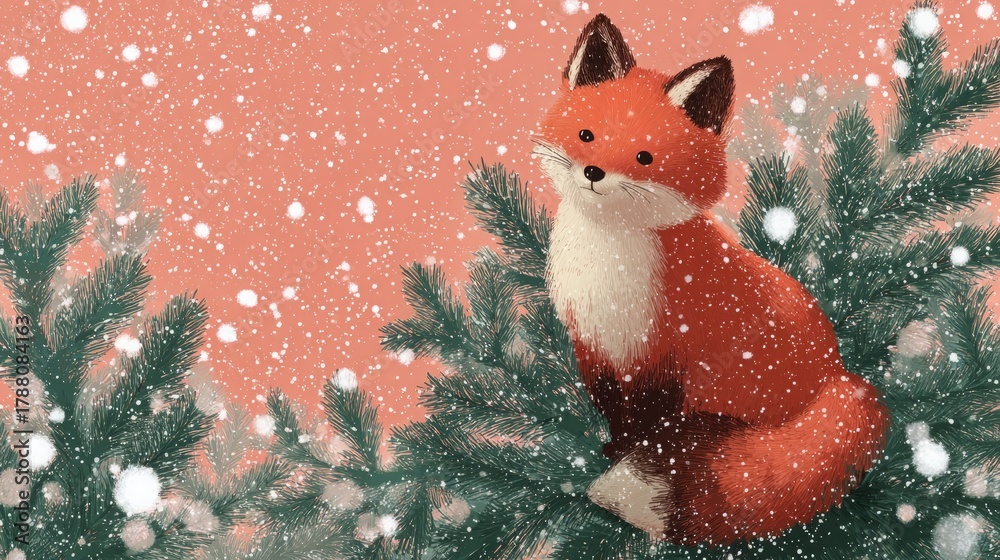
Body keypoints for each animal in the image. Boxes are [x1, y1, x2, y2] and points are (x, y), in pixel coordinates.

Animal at [533, 14, 890, 546]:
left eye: (644, 157)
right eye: (586, 135)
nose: (594, 172)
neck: (610, 263)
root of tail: (839, 380)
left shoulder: (664, 354)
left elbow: (648, 423)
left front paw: (626, 455)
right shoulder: (594, 343)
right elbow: (612, 409)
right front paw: (611, 449)